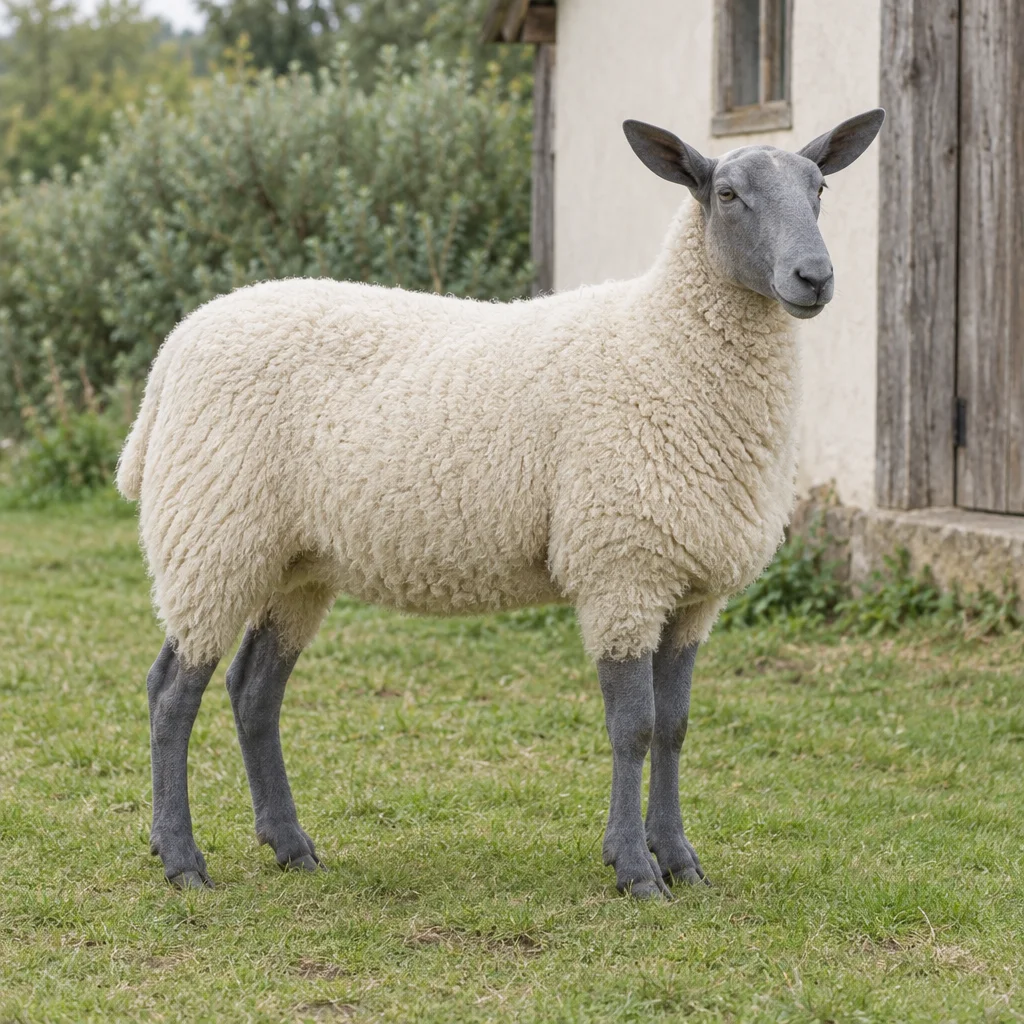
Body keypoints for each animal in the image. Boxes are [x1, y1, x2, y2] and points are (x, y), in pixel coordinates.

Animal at [117, 108, 884, 898]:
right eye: (727, 194)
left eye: (821, 187)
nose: (814, 277)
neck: (663, 342)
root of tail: (177, 347)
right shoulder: (622, 566)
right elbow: (632, 727)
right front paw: (635, 870)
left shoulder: (691, 588)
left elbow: (674, 728)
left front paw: (679, 860)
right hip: (212, 533)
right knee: (172, 691)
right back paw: (182, 859)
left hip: (294, 561)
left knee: (253, 690)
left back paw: (290, 845)